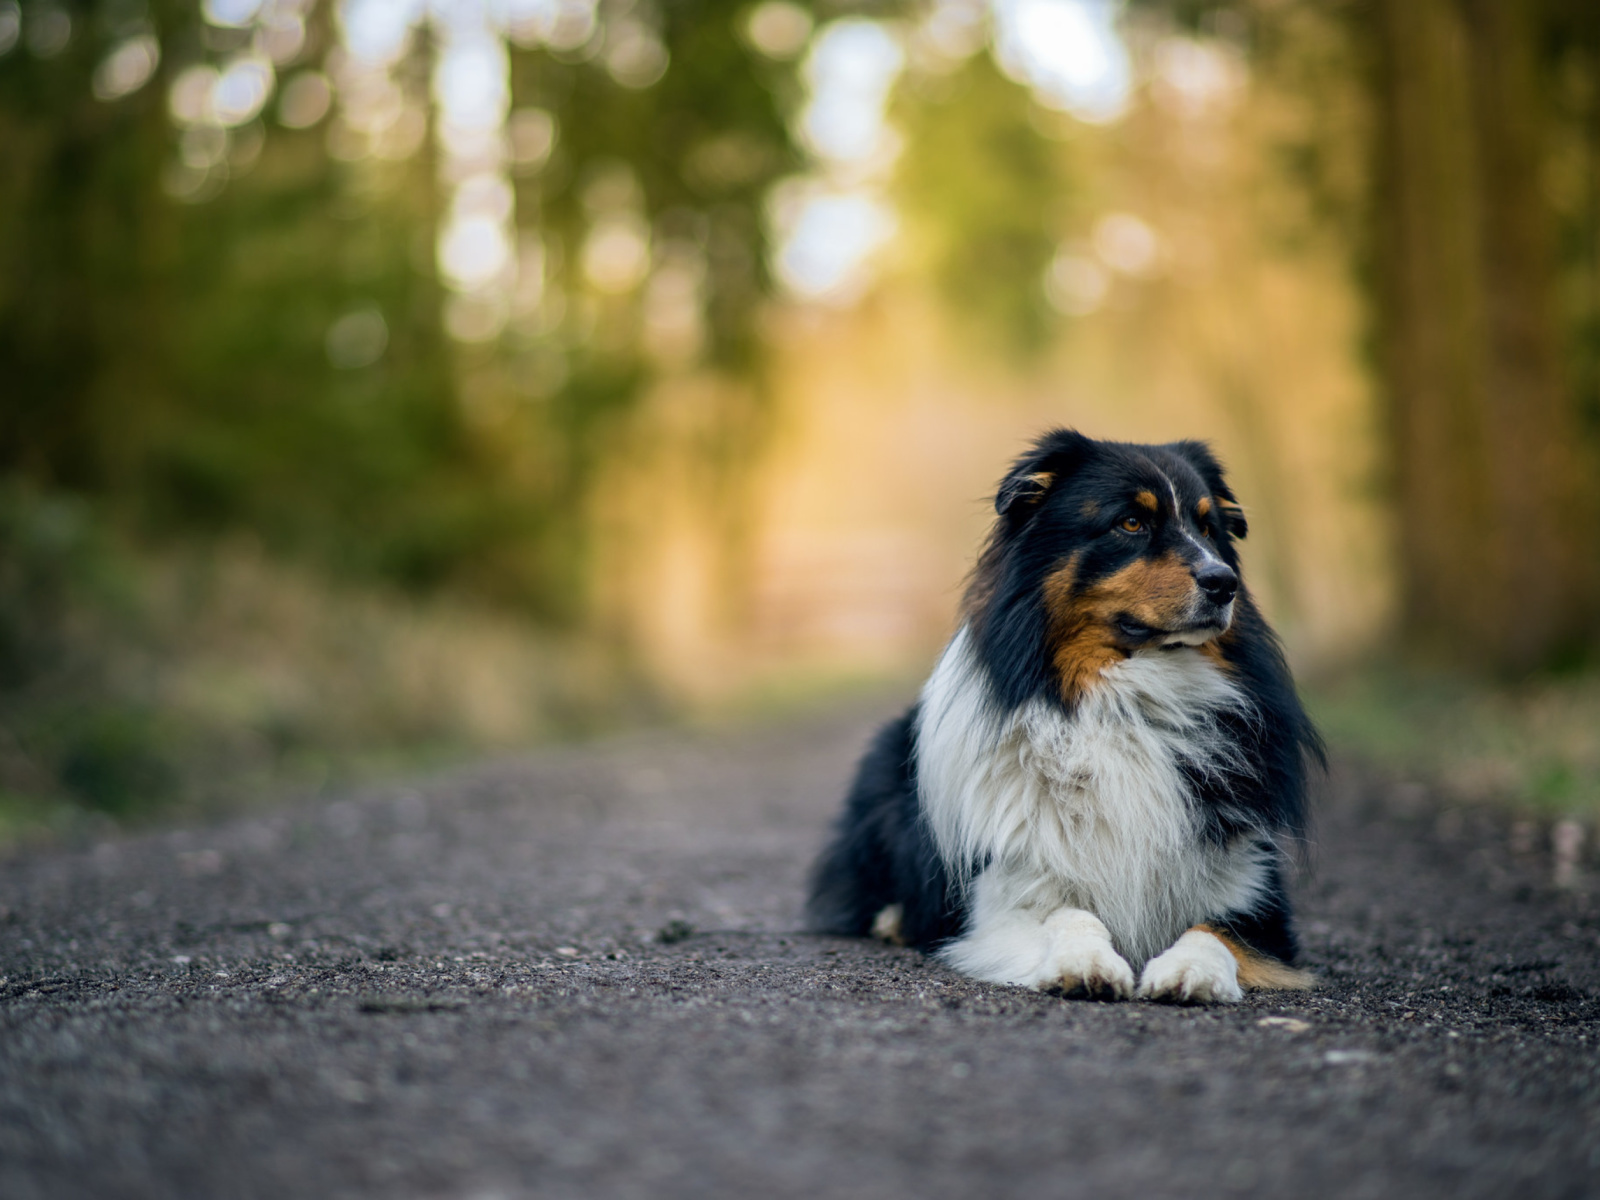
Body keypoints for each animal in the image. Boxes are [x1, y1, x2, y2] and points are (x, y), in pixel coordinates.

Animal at [806, 432, 1318, 1004]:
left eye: (1209, 527)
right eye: (1131, 523)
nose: (1223, 581)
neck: (1125, 700)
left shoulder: (1253, 890)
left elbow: (1212, 931)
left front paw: (1190, 972)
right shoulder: (1003, 893)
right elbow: (1069, 914)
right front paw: (1086, 963)